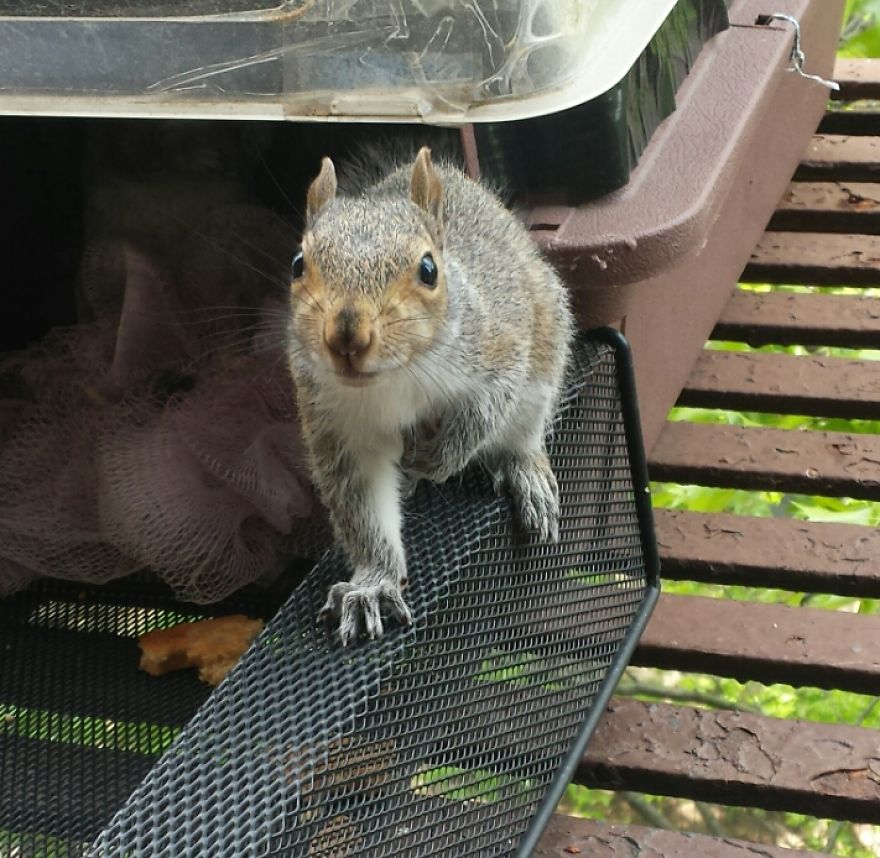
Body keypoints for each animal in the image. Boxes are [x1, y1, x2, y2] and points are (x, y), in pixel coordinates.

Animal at [287, 146, 574, 645]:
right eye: (298, 264)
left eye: (428, 269)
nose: (347, 336)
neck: (393, 377)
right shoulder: (338, 425)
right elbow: (365, 511)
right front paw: (372, 584)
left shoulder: (497, 354)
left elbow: (481, 414)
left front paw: (435, 460)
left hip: (544, 358)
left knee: (521, 435)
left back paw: (525, 473)